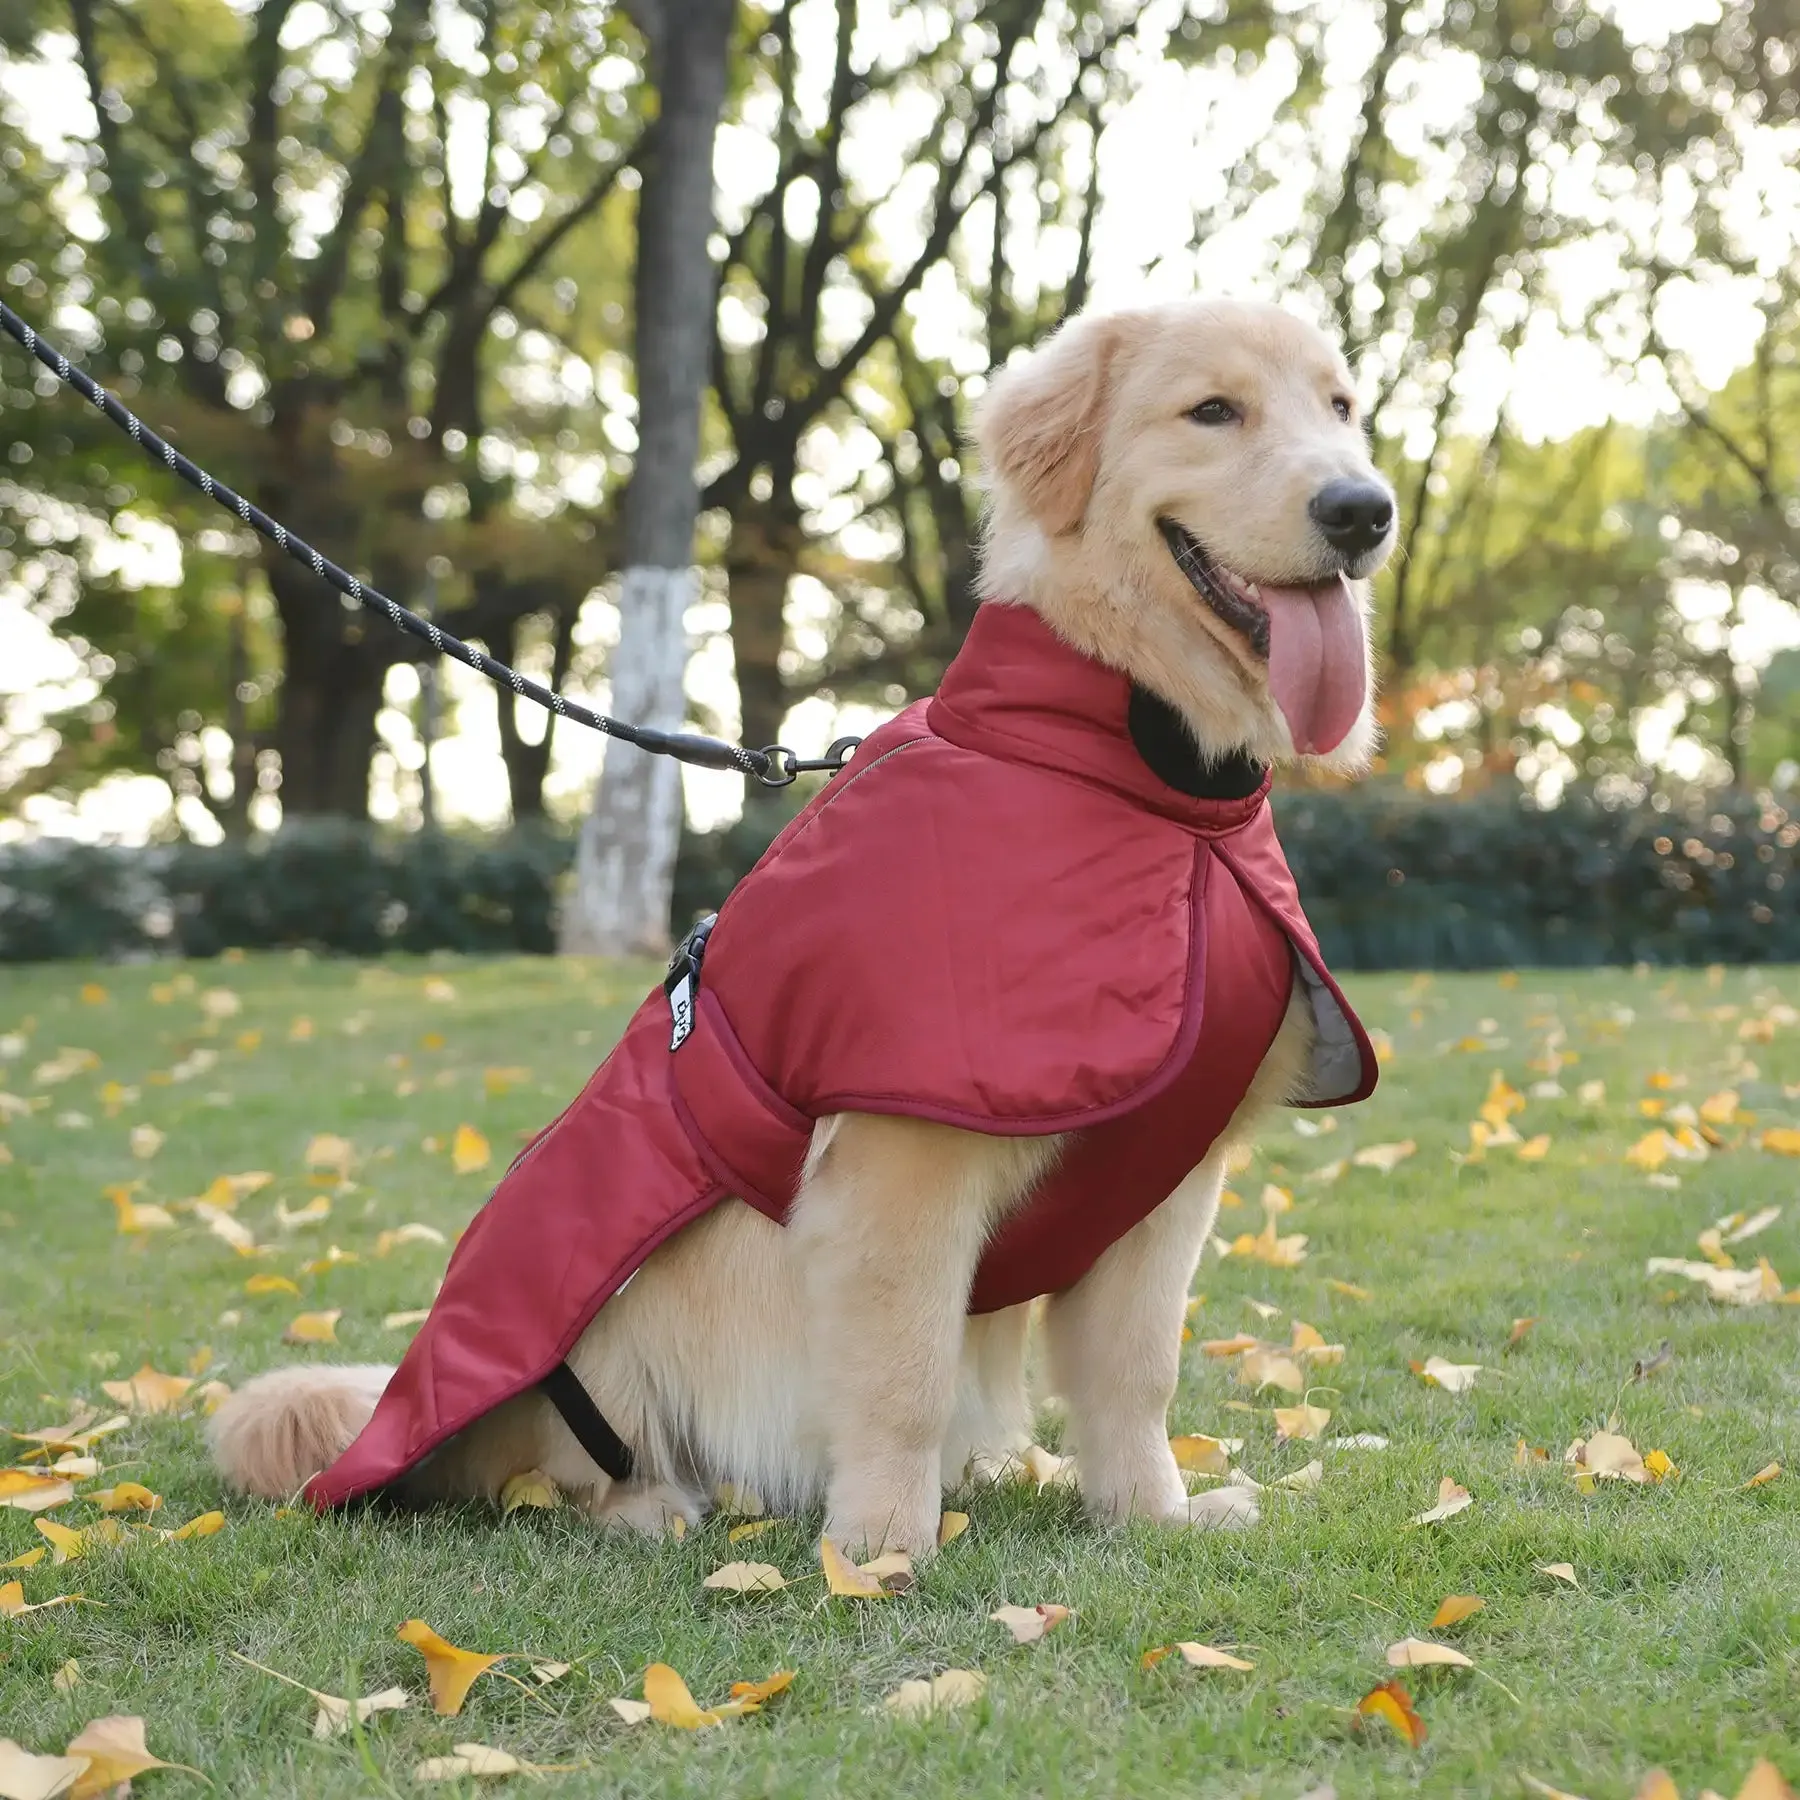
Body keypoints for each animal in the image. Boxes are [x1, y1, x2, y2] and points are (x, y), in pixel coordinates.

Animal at [207, 298, 1389, 1562]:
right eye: (1213, 410)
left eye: (1340, 407)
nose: (1365, 510)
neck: (1153, 786)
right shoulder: (901, 1166)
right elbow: (904, 1375)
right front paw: (880, 1550)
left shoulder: (1167, 1186)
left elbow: (1137, 1375)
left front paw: (1155, 1517)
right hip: (599, 1345)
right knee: (535, 1474)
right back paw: (653, 1505)